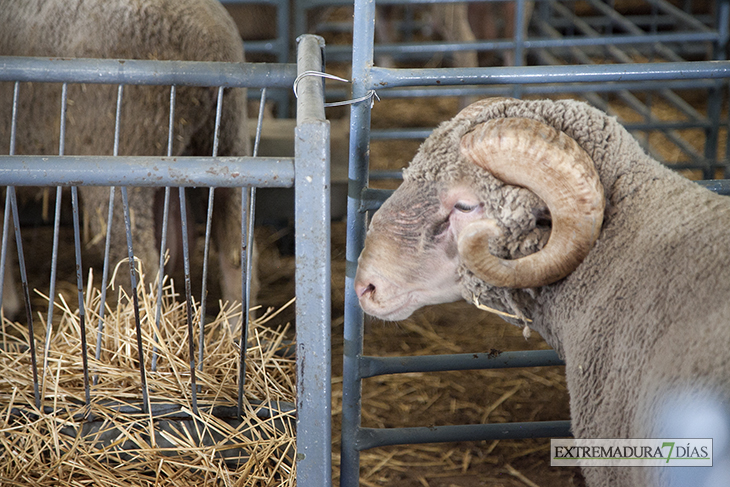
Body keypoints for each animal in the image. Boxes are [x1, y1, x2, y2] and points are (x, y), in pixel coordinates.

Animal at [0, 0, 256, 320]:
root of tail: (210, 41)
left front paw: (6, 301)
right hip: (227, 140)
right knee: (237, 251)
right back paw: (237, 327)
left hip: (121, 158)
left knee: (141, 266)